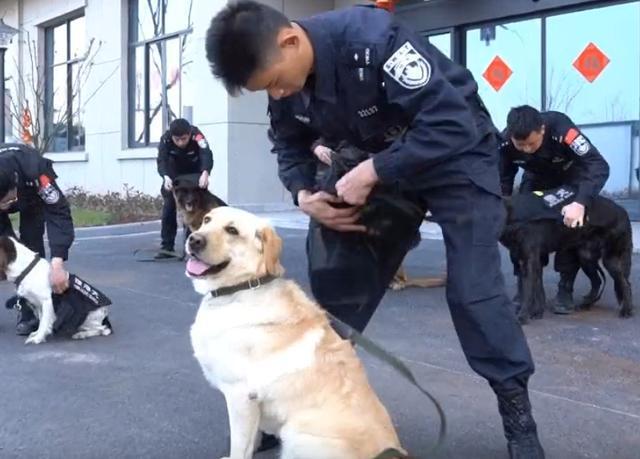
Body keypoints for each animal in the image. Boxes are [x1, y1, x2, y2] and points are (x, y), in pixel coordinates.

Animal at [186, 208, 404, 459]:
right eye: (206, 220)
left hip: (295, 431)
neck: (244, 287)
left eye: (232, 230)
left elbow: (240, 448)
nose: (193, 240)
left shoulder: (240, 396)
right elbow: (252, 439)